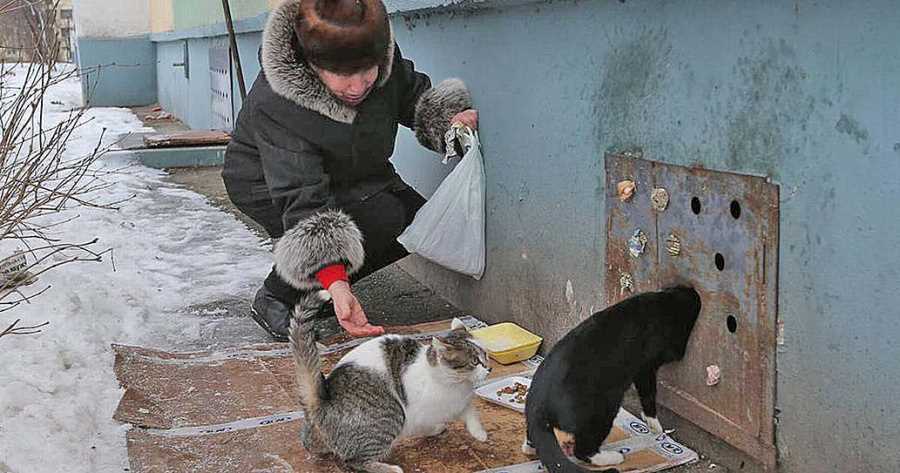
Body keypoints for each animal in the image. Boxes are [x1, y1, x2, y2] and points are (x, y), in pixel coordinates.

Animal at [520, 286, 704, 470]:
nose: (695, 293)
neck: (662, 302)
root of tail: (539, 404)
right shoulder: (647, 366)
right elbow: (649, 394)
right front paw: (655, 425)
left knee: (534, 439)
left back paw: (530, 448)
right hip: (603, 410)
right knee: (583, 449)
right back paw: (612, 458)